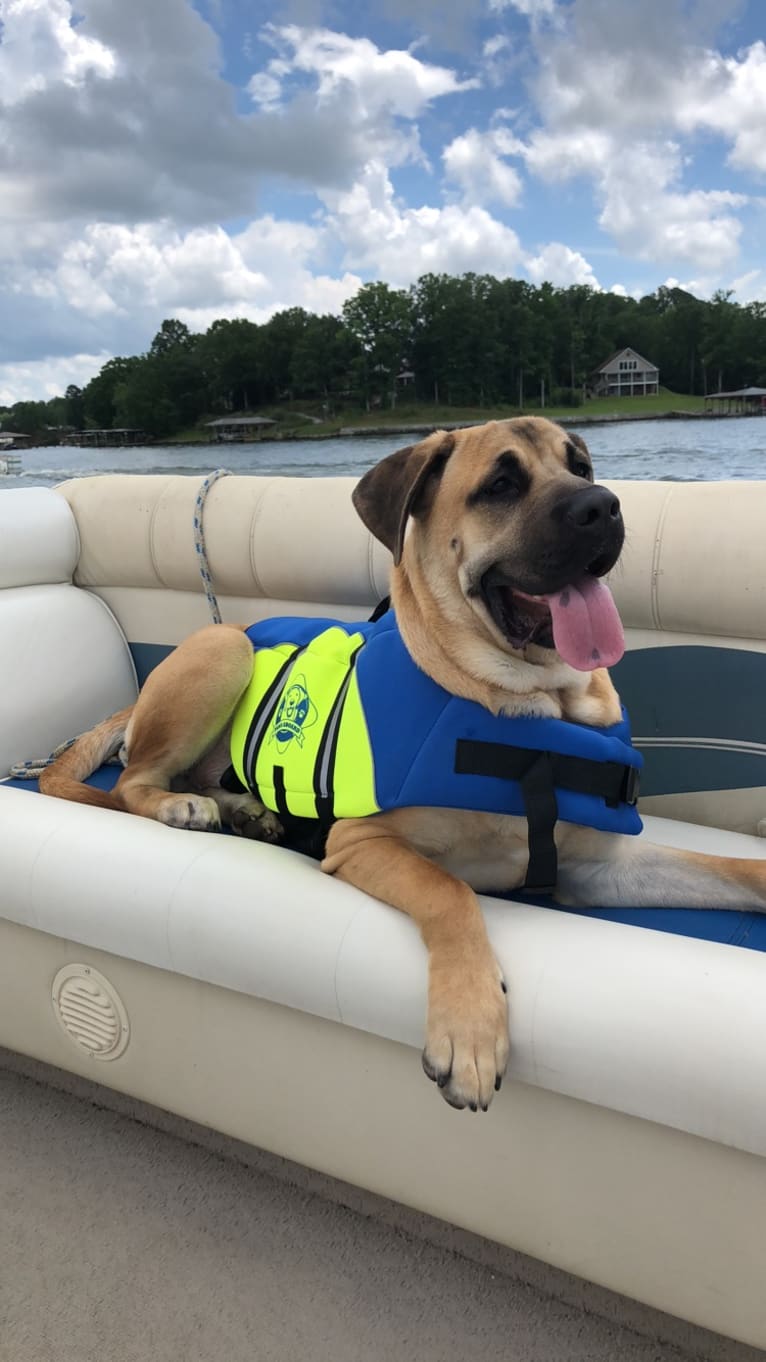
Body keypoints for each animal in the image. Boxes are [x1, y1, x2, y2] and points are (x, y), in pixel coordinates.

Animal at [40, 419, 763, 1111]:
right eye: (501, 484)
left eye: (580, 465)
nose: (604, 506)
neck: (532, 711)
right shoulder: (363, 840)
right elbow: (451, 891)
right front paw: (470, 1031)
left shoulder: (597, 869)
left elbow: (732, 870)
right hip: (222, 649)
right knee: (135, 781)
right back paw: (180, 806)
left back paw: (246, 810)